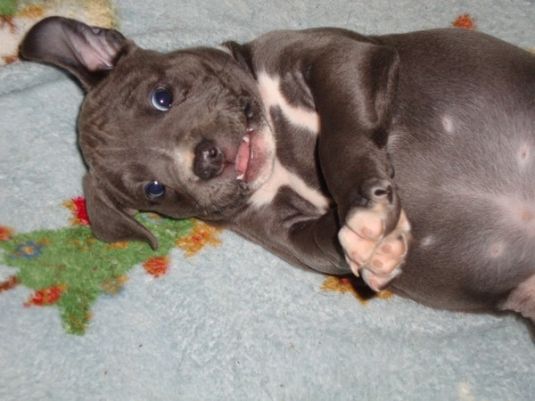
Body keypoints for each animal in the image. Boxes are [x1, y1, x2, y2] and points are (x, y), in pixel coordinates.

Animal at [19, 17, 535, 322]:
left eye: (161, 96)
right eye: (154, 189)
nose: (206, 159)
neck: (278, 159)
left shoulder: (337, 55)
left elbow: (338, 138)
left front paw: (367, 210)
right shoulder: (290, 236)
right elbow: (331, 240)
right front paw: (376, 243)